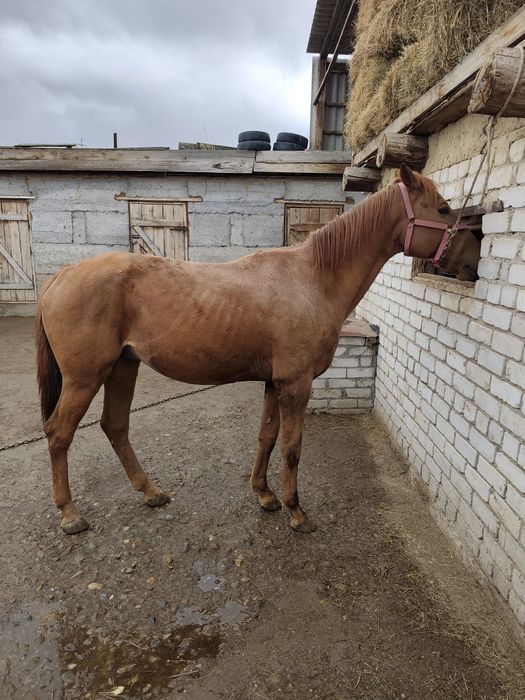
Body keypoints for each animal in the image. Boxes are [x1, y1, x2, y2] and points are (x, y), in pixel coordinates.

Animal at [36, 164, 480, 535]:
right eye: (444, 209)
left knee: (115, 426)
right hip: (85, 377)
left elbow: (267, 436)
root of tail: (62, 274)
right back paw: (70, 513)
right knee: (59, 433)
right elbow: (292, 447)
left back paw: (151, 492)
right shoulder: (297, 384)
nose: (474, 261)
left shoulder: (273, 382)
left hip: (123, 367)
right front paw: (296, 511)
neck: (314, 280)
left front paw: (264, 495)